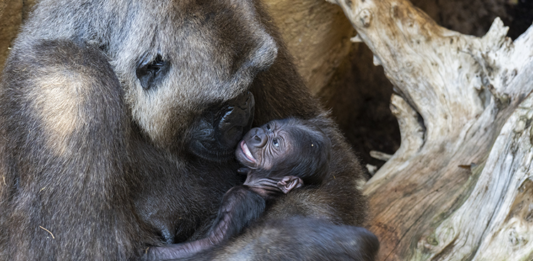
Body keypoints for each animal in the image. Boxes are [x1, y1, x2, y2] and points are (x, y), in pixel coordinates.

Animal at [149, 118, 328, 258]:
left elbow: (213, 242)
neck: (262, 186)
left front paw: (150, 253)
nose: (258, 135)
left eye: (276, 143)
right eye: (269, 127)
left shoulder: (239, 198)